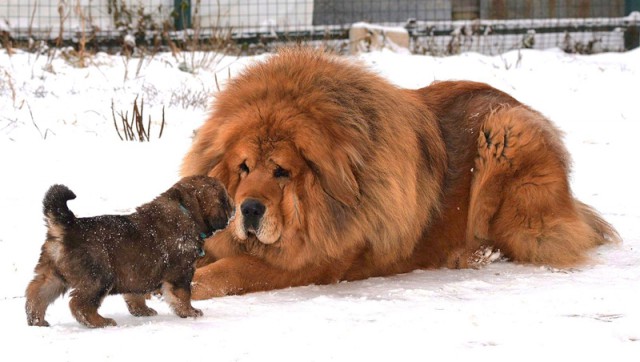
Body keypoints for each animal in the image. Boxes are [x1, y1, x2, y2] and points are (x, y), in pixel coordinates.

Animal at [26, 175, 235, 328]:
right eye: (225, 198)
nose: (234, 207)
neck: (187, 211)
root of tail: (67, 226)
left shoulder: (136, 273)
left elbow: (135, 295)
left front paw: (142, 311)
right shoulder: (181, 272)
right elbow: (183, 295)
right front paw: (190, 312)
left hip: (52, 274)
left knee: (36, 294)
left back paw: (37, 321)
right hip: (99, 277)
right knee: (79, 304)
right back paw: (101, 322)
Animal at [181, 48, 620, 300]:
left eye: (282, 171)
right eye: (243, 167)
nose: (249, 209)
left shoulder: (313, 261)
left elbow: (229, 270)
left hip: (507, 133)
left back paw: (472, 252)